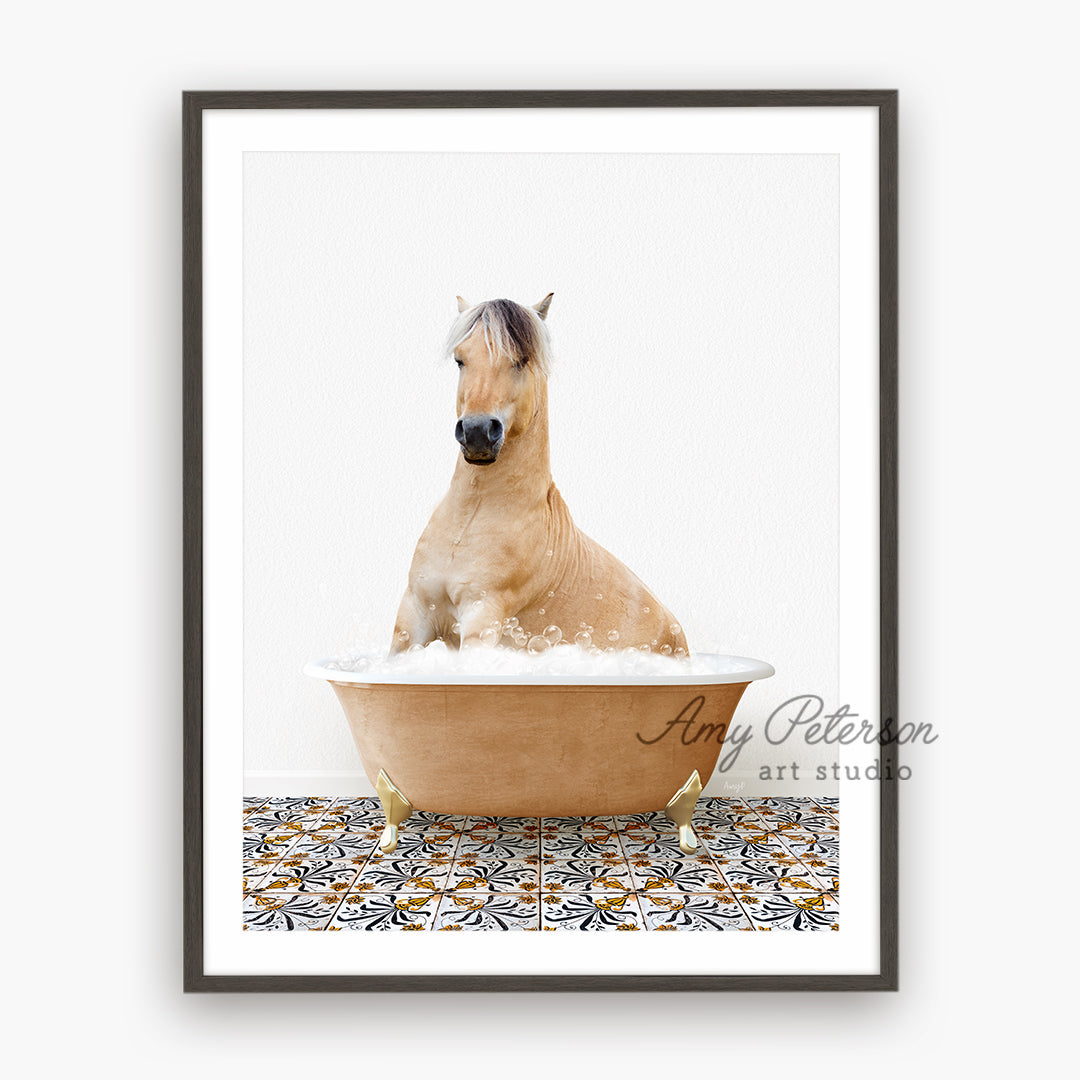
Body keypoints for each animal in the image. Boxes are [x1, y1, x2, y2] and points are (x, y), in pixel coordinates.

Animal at [393, 291, 686, 652]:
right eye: (460, 360)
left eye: (521, 360)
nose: (477, 432)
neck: (470, 520)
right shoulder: (414, 613)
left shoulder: (482, 615)